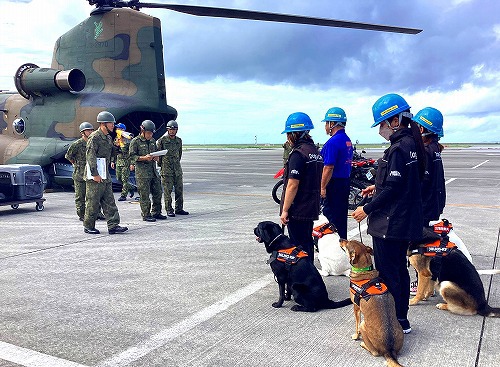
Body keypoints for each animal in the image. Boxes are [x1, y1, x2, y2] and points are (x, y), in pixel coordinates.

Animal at [338, 239, 404, 367]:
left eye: (347, 243)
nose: (340, 239)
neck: (364, 271)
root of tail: (389, 350)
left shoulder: (356, 307)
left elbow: (356, 324)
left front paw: (356, 336)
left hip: (364, 325)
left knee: (375, 352)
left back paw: (363, 344)